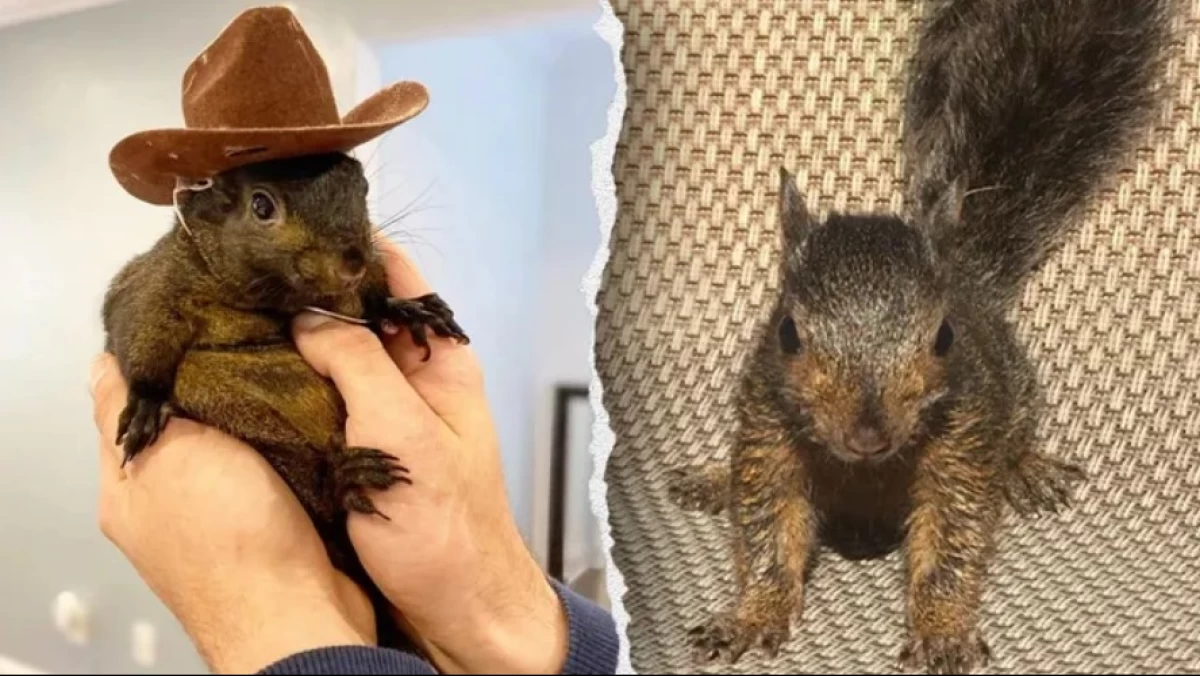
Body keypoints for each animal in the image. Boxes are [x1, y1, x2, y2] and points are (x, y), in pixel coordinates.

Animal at [101, 151, 469, 650]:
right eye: (261, 206)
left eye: (362, 187)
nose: (352, 261)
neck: (274, 298)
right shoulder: (153, 286)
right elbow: (137, 329)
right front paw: (146, 401)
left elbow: (374, 302)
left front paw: (407, 309)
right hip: (246, 422)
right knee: (317, 494)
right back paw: (340, 480)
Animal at [671, 0, 1171, 673]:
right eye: (787, 333)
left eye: (944, 337)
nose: (867, 434)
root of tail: (967, 271)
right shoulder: (768, 432)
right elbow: (768, 530)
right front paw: (751, 616)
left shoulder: (963, 444)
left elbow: (951, 545)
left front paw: (941, 632)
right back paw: (711, 479)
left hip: (1016, 389)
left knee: (1016, 436)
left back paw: (1027, 467)